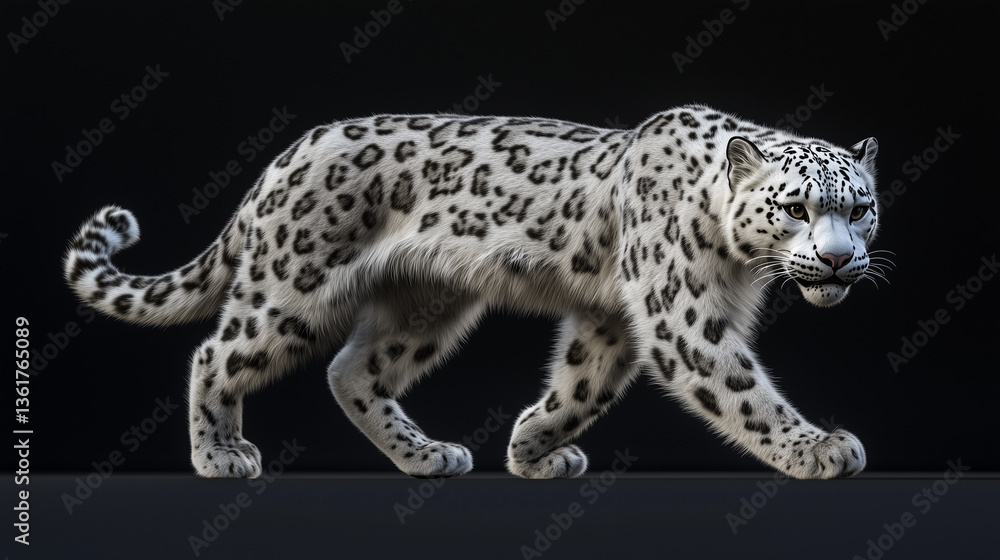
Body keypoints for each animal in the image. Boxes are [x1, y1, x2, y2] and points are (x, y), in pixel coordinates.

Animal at [64, 104, 886, 480]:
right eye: (796, 207)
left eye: (860, 206)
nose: (839, 260)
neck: (737, 259)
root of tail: (282, 159)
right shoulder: (682, 316)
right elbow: (742, 390)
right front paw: (819, 447)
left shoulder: (609, 319)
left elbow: (581, 384)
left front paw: (531, 450)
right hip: (292, 290)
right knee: (217, 354)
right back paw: (221, 455)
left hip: (426, 305)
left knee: (353, 370)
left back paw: (428, 455)